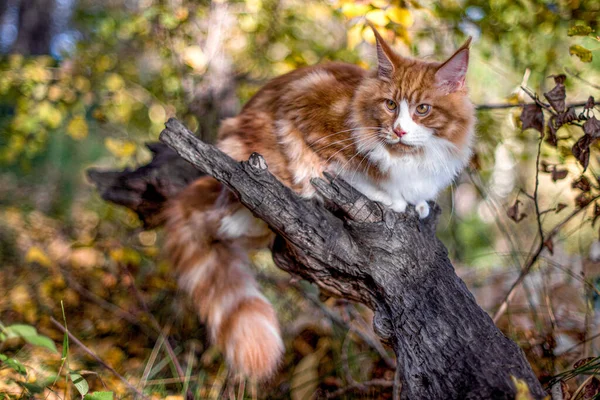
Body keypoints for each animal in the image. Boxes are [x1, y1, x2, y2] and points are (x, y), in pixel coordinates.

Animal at [163, 25, 474, 382]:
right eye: (390, 104)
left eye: (423, 109)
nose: (399, 130)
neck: (407, 158)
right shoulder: (307, 113)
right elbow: (344, 173)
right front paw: (388, 197)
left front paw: (417, 202)